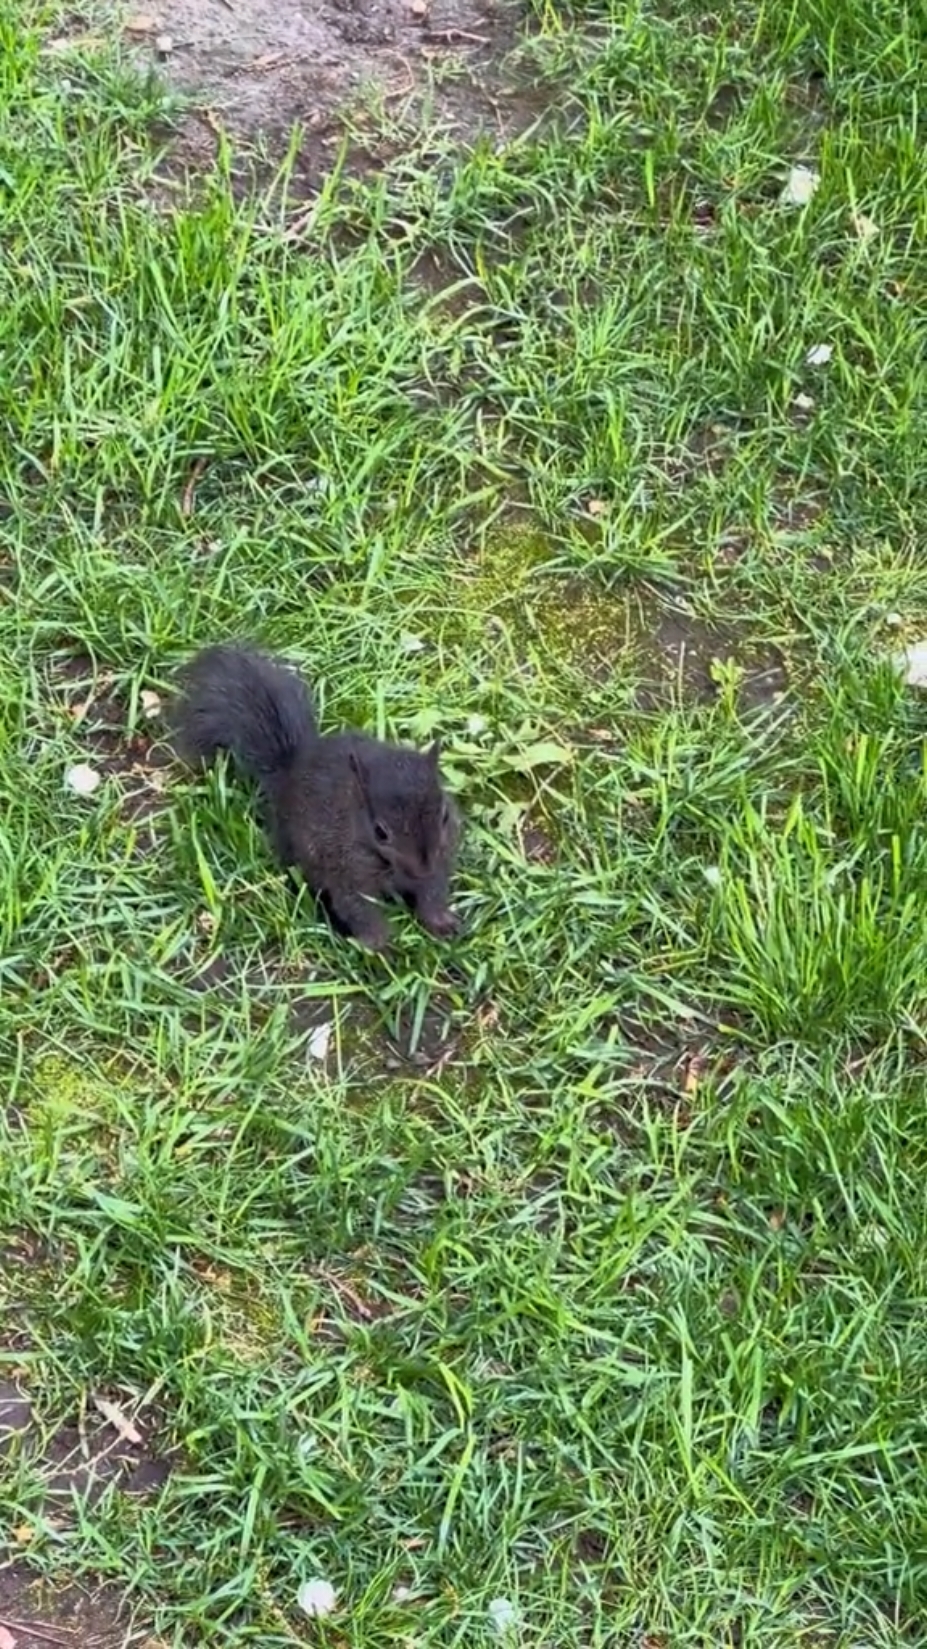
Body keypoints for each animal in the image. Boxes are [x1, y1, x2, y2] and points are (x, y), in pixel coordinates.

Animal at [172, 643, 458, 956]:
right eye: (380, 832)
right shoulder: (343, 866)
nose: (421, 869)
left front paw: (442, 922)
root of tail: (292, 768)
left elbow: (432, 890)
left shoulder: (440, 858)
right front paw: (381, 946)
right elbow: (357, 907)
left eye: (445, 815)